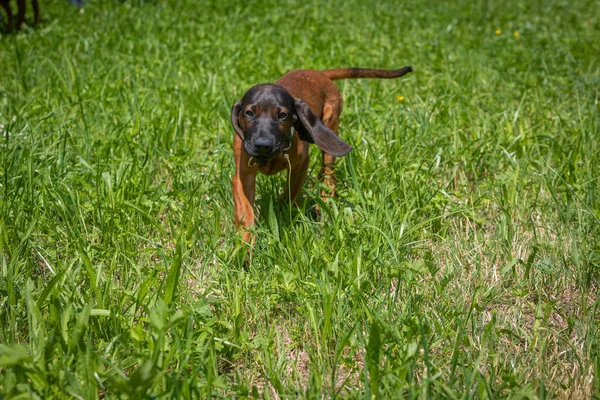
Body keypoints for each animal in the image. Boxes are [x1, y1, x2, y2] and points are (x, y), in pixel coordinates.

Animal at [233, 66, 412, 244]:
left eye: (282, 115)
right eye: (249, 113)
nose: (263, 145)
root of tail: (317, 72)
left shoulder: (301, 165)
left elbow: (291, 192)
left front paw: (283, 211)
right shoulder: (242, 175)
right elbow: (245, 213)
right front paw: (245, 243)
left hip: (331, 126)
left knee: (329, 175)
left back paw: (324, 205)